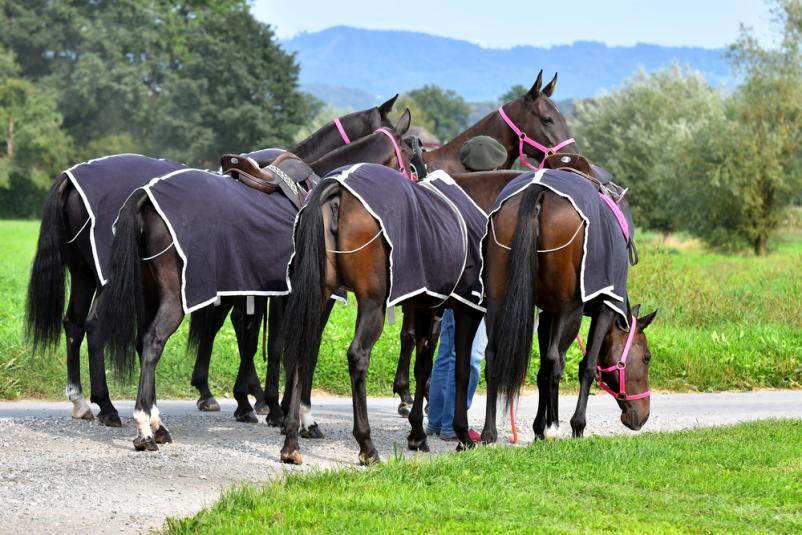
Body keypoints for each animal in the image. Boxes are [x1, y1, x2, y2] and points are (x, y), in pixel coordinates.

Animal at [24, 96, 398, 427]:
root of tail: (69, 179)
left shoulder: (245, 285)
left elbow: (240, 333)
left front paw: (244, 398)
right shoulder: (274, 290)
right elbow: (273, 340)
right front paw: (267, 404)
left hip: (86, 275)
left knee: (75, 324)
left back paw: (82, 400)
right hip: (111, 282)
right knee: (96, 327)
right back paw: (109, 406)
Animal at [98, 111, 414, 451]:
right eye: (410, 156)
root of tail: (144, 197)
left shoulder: (276, 294)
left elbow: (272, 345)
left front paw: (275, 409)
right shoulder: (310, 297)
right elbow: (298, 348)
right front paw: (295, 417)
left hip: (149, 293)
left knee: (142, 342)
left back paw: (158, 423)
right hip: (173, 298)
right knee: (151, 342)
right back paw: (144, 426)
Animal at [277, 163, 577, 465]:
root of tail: (337, 189)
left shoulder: (427, 307)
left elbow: (423, 365)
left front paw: (418, 435)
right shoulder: (467, 309)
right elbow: (461, 370)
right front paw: (463, 435)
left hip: (317, 295)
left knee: (302, 349)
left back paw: (292, 440)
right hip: (371, 303)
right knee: (357, 356)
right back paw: (366, 446)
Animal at [479, 165, 657, 444]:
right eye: (646, 357)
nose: (643, 416)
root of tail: (538, 188)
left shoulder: (548, 314)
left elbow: (542, 370)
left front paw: (539, 427)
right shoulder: (603, 309)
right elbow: (586, 367)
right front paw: (574, 425)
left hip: (498, 301)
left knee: (494, 355)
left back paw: (489, 432)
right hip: (570, 310)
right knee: (556, 361)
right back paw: (554, 427)